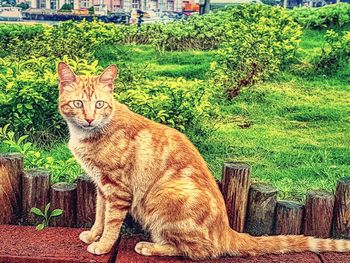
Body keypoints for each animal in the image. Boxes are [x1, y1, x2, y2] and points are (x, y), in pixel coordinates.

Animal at [58, 63, 350, 260]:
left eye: (99, 104)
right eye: (78, 103)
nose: (89, 119)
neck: (88, 135)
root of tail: (227, 231)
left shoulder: (117, 190)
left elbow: (111, 223)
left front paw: (103, 246)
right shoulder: (101, 187)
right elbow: (100, 217)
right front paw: (93, 235)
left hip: (163, 198)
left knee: (198, 251)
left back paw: (149, 246)